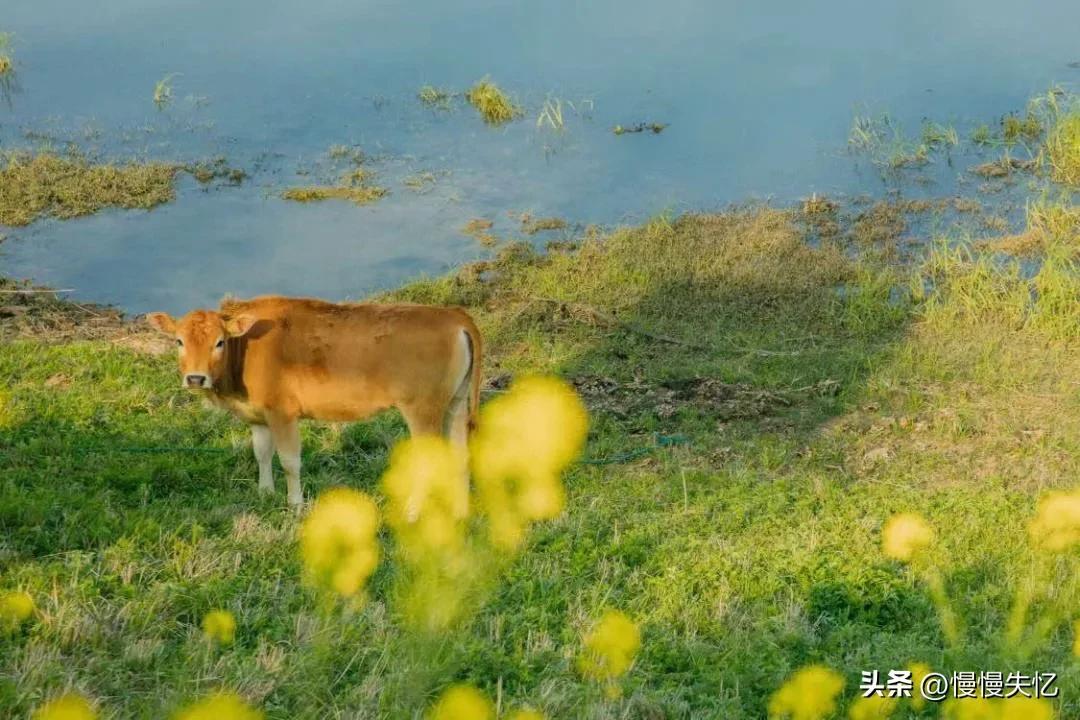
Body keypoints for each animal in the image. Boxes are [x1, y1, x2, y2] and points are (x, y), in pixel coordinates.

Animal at [145, 295, 483, 509]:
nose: (195, 378)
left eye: (219, 342)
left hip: (422, 409)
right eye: (179, 341)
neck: (248, 348)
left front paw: (295, 505)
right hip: (455, 403)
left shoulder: (282, 413)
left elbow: (289, 461)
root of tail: (452, 314)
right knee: (460, 455)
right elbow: (262, 454)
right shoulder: (259, 417)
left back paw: (413, 512)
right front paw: (265, 493)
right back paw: (460, 510)